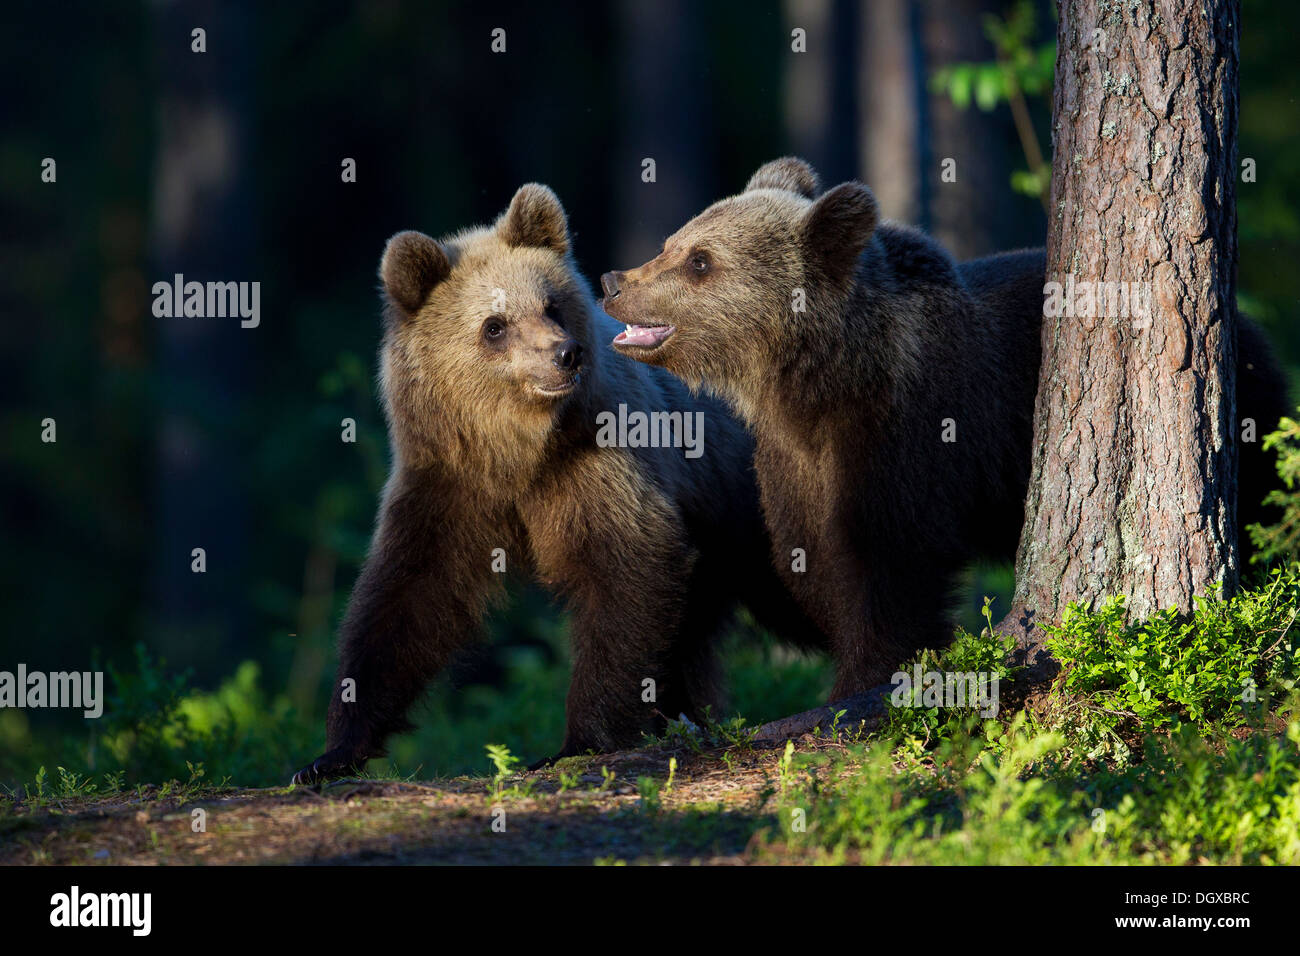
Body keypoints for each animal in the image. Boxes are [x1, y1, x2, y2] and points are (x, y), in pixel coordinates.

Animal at [295, 180, 821, 785]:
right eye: (494, 325)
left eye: (551, 304)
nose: (564, 354)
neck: (518, 454)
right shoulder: (448, 482)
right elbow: (404, 600)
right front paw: (330, 754)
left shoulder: (595, 463)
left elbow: (625, 571)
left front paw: (579, 741)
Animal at [600, 155, 1289, 697]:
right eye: (674, 241)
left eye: (699, 260)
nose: (613, 280)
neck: (822, 384)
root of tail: (1246, 322)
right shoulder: (792, 463)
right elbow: (811, 563)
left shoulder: (906, 435)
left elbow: (892, 565)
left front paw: (867, 678)